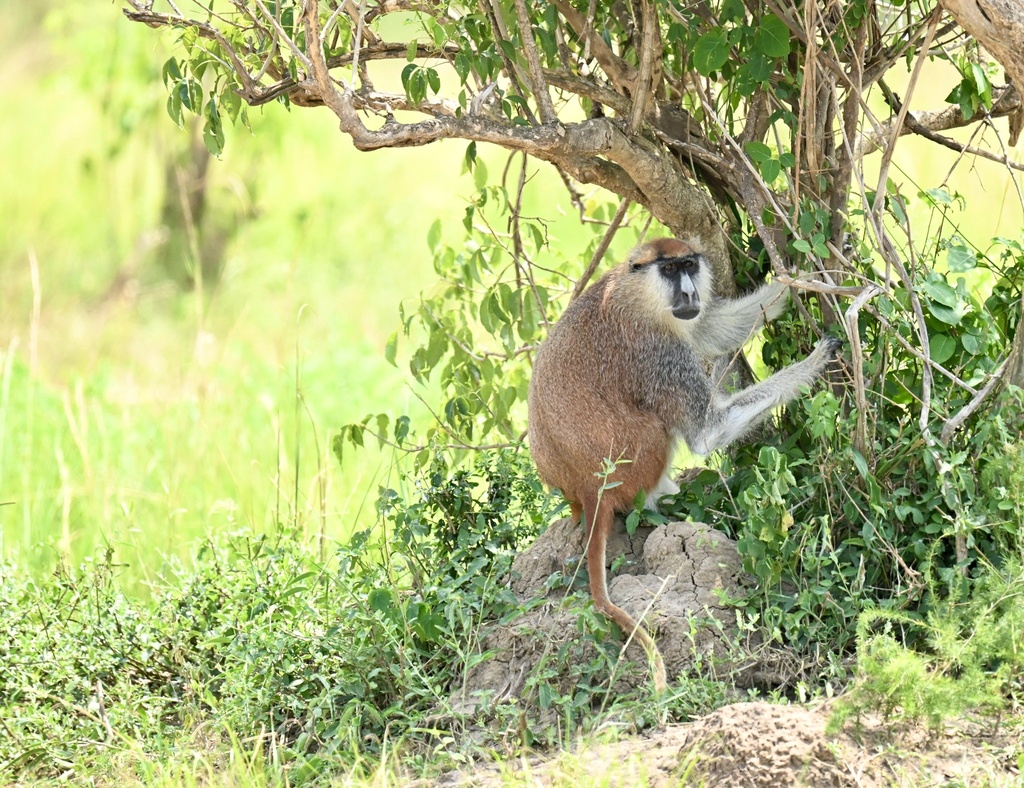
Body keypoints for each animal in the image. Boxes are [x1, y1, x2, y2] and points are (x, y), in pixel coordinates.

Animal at [527, 236, 843, 691]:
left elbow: (713, 326)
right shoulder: (659, 352)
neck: (636, 294)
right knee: (660, 429)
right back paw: (661, 501)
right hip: (635, 464)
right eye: (671, 270)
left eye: (690, 265)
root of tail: (589, 489)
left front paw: (800, 279)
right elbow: (707, 431)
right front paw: (817, 359)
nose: (690, 292)